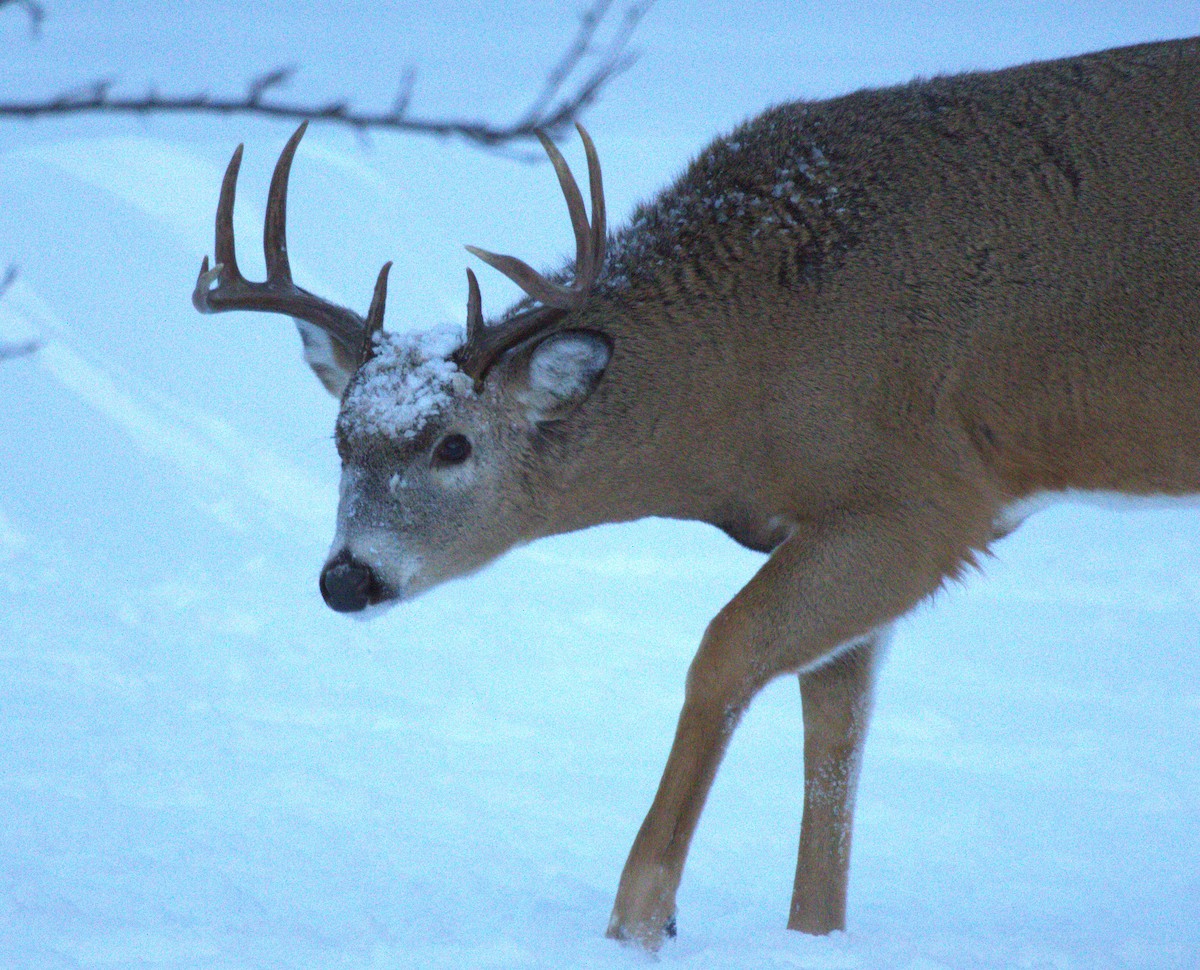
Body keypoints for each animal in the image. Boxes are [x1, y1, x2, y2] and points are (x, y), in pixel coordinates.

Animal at [193, 36, 1200, 950]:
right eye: (341, 439)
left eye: (453, 444)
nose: (346, 578)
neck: (750, 379)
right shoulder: (847, 520)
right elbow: (834, 732)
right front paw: (810, 935)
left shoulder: (929, 496)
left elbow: (724, 653)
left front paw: (639, 924)